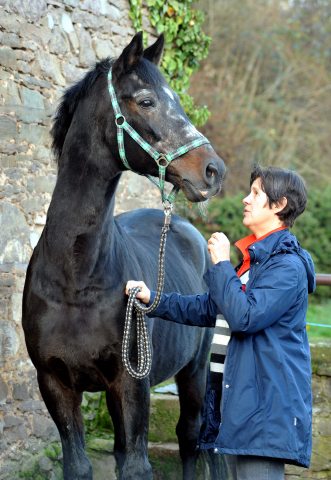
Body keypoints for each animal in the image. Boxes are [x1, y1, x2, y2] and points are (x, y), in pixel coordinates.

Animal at [22, 31, 227, 478]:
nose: (213, 171)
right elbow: (80, 464)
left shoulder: (132, 384)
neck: (75, 281)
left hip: (196, 371)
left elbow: (136, 465)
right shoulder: (55, 385)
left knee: (191, 437)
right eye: (146, 101)